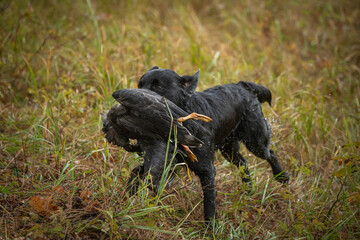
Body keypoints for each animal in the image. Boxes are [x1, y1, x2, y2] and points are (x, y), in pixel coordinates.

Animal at [136, 66, 292, 223]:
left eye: (158, 86)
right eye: (140, 85)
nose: (137, 97)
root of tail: (243, 86)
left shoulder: (207, 170)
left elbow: (209, 202)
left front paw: (211, 226)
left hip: (255, 141)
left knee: (270, 153)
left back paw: (282, 176)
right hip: (229, 149)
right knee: (243, 163)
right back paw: (248, 190)